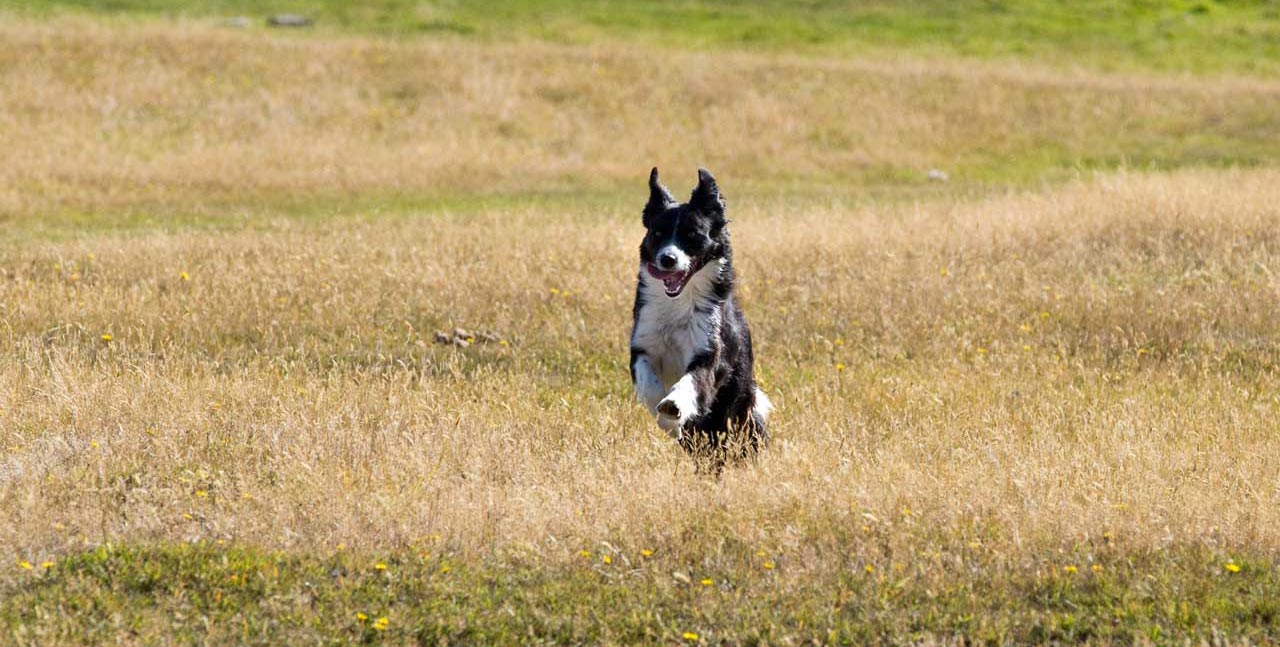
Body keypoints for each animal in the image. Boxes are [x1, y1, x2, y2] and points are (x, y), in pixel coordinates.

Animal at [629, 166, 768, 458]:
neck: (677, 303)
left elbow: (693, 382)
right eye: (657, 234)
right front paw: (667, 417)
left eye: (692, 235)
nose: (667, 259)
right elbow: (648, 384)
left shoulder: (709, 352)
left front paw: (673, 406)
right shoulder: (642, 346)